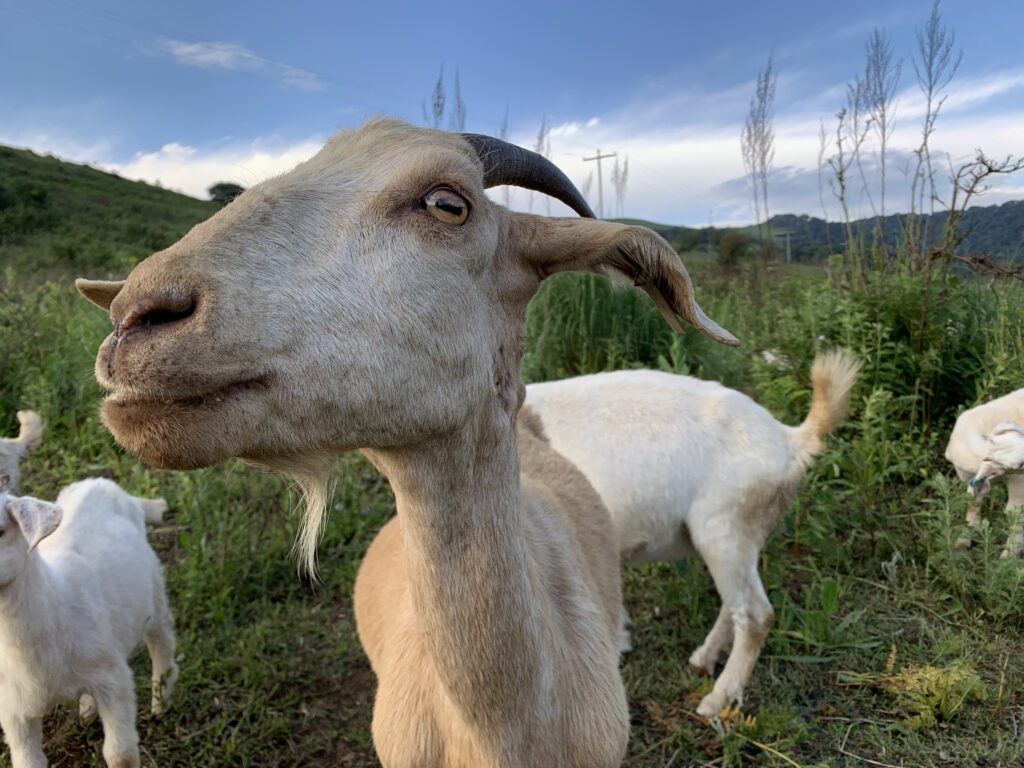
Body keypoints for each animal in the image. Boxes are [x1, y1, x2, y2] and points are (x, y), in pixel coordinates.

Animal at [0, 479, 177, 765]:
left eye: (1, 531)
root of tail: (100, 483)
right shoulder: (13, 708)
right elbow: (28, 761)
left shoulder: (113, 679)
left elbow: (120, 755)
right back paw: (87, 708)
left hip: (154, 591)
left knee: (162, 640)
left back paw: (160, 702)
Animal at [524, 352, 860, 720]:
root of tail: (791, 440)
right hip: (739, 538)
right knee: (737, 601)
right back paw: (703, 659)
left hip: (724, 527)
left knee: (757, 614)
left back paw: (716, 700)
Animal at [946, 391, 1024, 561]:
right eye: (1019, 464)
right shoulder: (972, 479)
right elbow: (972, 504)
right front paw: (962, 542)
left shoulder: (1018, 484)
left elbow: (1015, 516)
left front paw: (1007, 558)